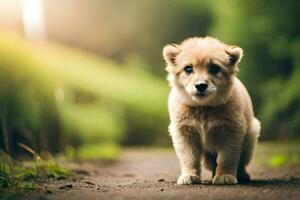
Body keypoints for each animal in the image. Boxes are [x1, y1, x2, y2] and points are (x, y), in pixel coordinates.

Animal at [162, 36, 260, 185]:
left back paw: (242, 174)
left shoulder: (232, 131)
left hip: (251, 136)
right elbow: (189, 157)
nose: (200, 86)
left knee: (241, 161)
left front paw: (225, 175)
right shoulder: (184, 131)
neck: (204, 108)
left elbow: (227, 157)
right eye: (188, 69)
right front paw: (189, 176)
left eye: (214, 68)